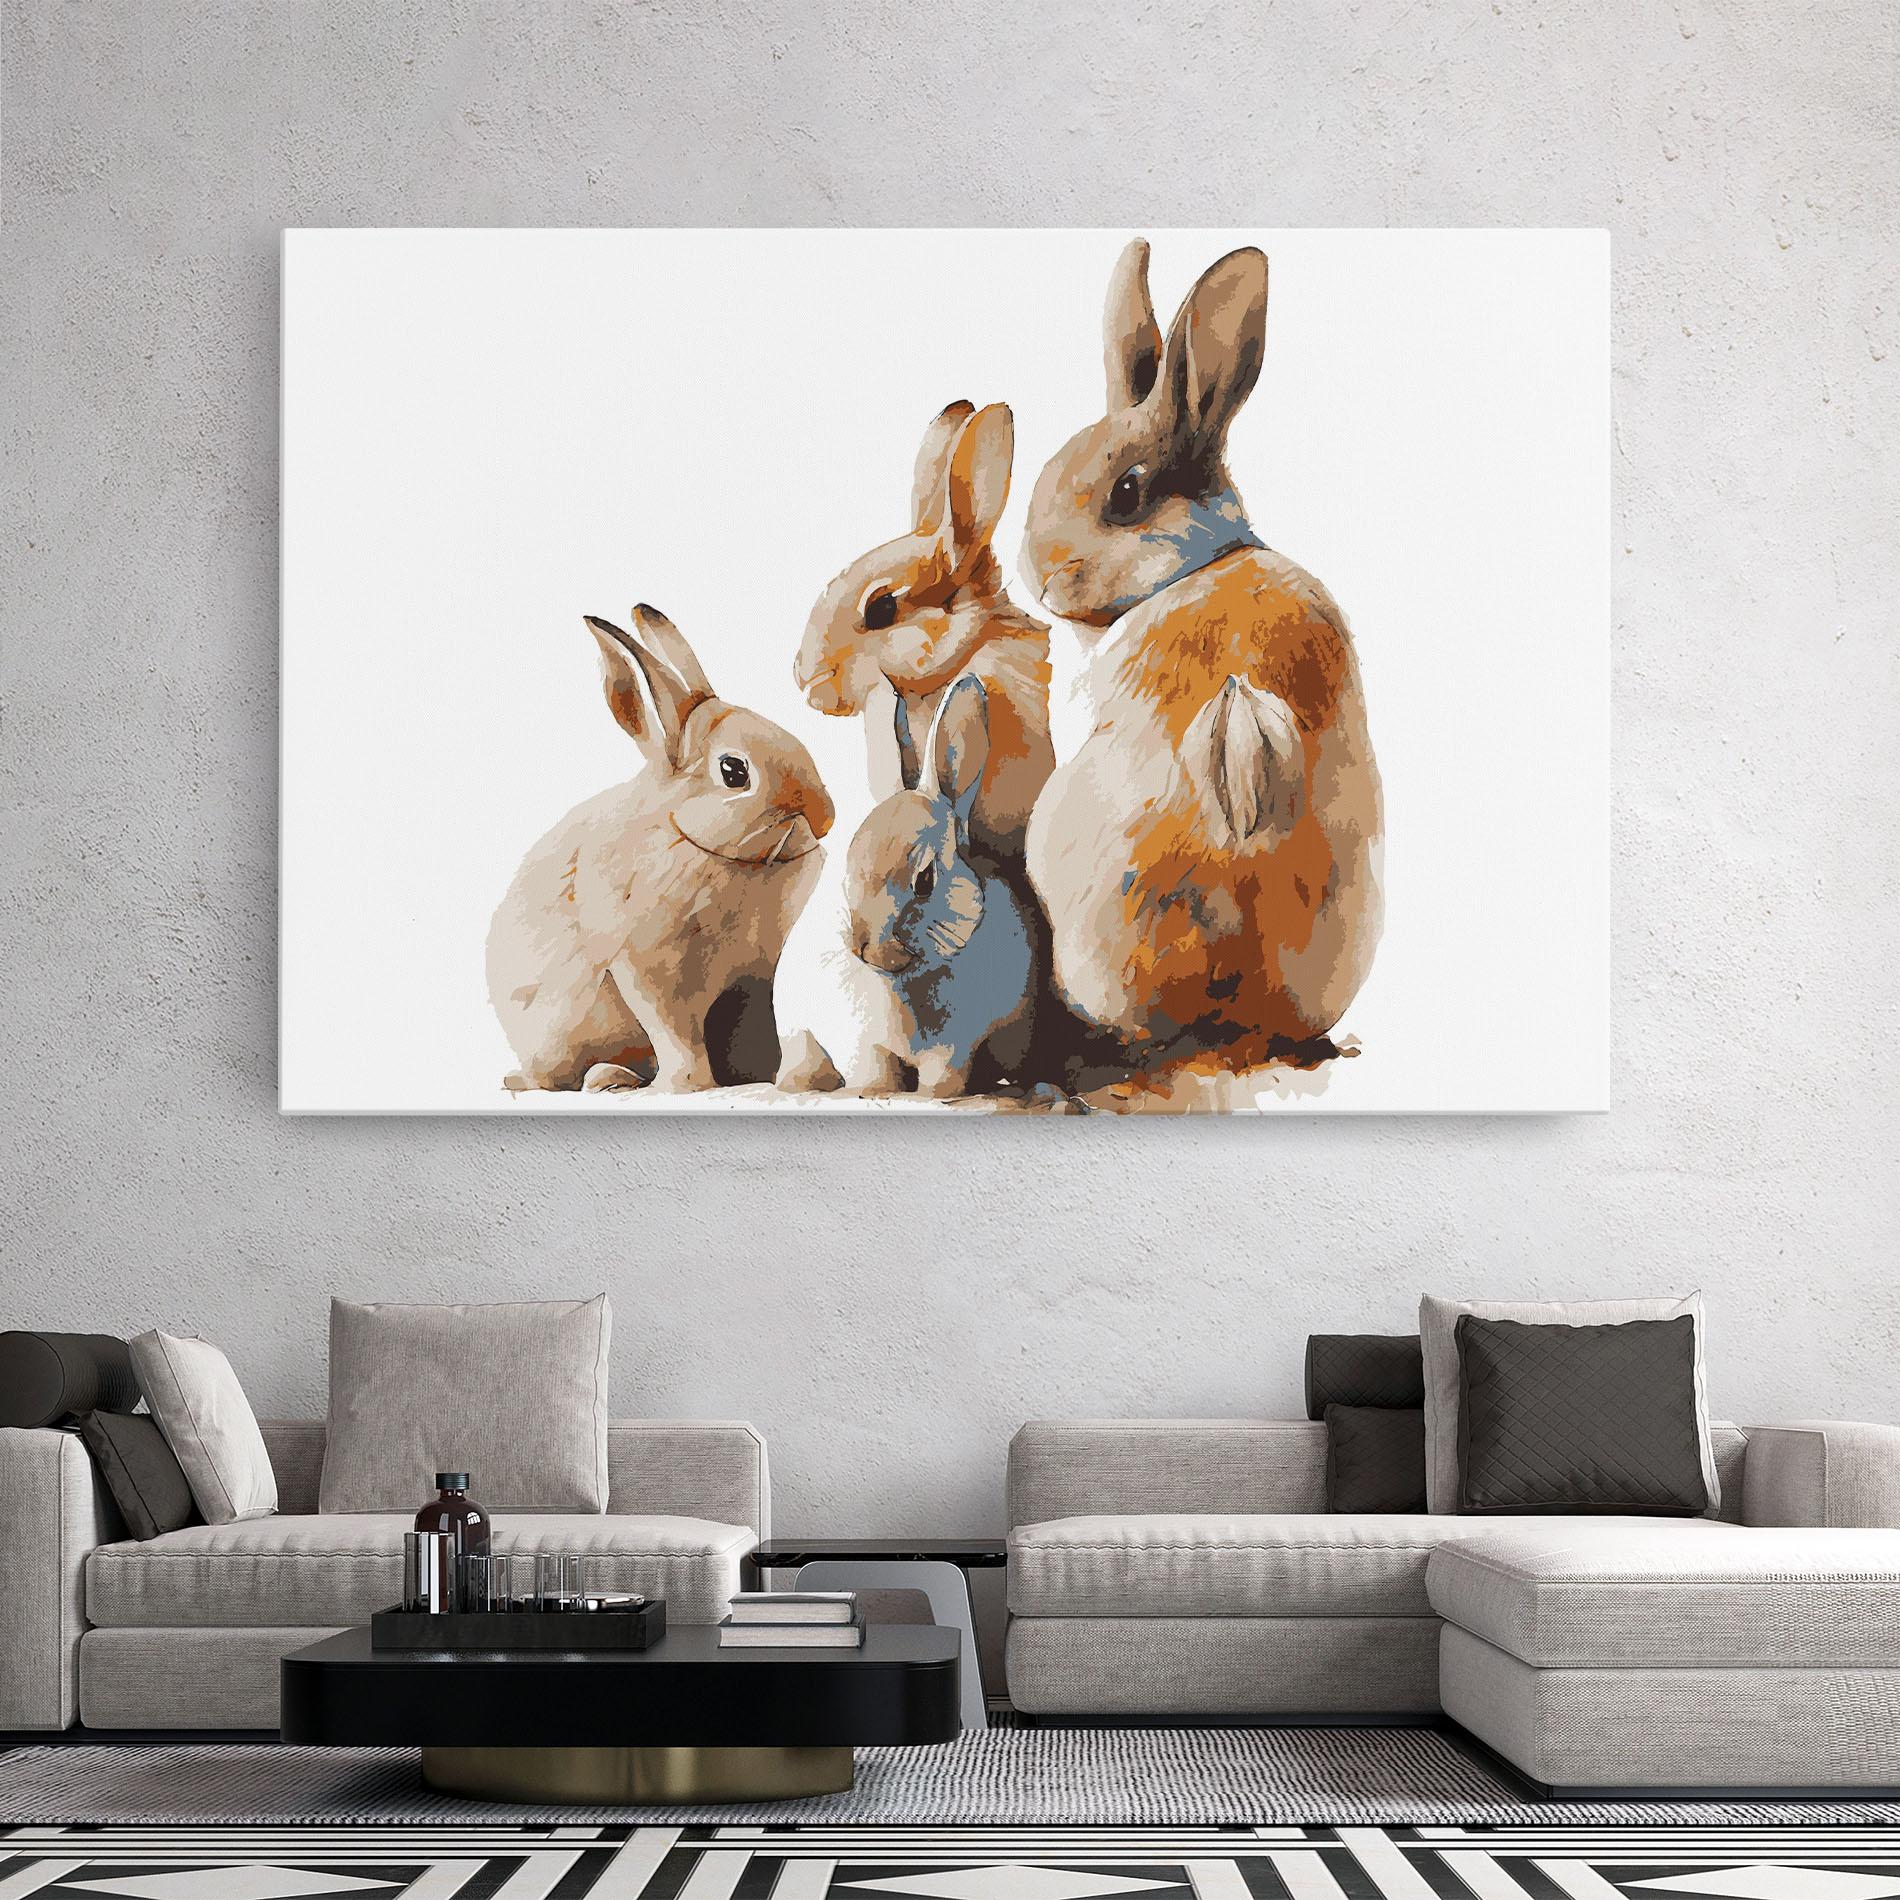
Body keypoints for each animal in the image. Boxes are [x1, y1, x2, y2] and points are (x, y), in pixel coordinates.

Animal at [486, 605, 835, 1095]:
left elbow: (750, 1027)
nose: (825, 816)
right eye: (734, 771)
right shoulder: (650, 970)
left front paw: (760, 1076)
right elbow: (675, 1032)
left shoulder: (751, 976)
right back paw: (605, 1079)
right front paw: (690, 1086)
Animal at [842, 674, 1037, 1099]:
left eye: (925, 879)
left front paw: (931, 1097)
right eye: (850, 862)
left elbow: (942, 1079)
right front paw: (873, 1092)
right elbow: (880, 1069)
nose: (865, 949)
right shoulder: (875, 1045)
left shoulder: (952, 1049)